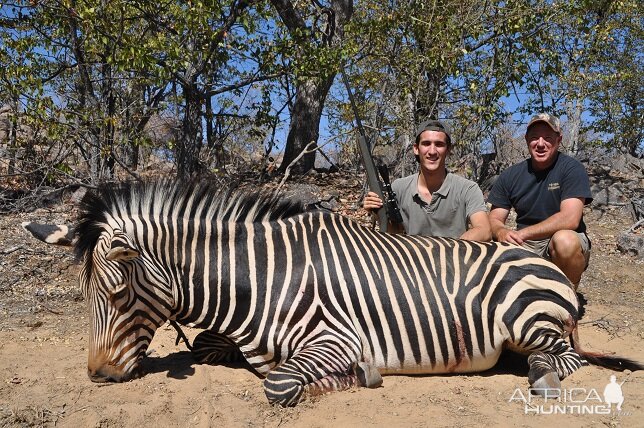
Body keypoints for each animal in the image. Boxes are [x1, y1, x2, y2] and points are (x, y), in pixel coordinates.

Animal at [22, 179, 640, 406]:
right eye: (87, 295)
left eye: (116, 294)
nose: (98, 375)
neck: (263, 279)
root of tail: (536, 258)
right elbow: (205, 345)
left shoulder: (335, 339)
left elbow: (277, 384)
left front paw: (359, 377)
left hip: (532, 317)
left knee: (563, 358)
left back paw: (542, 377)